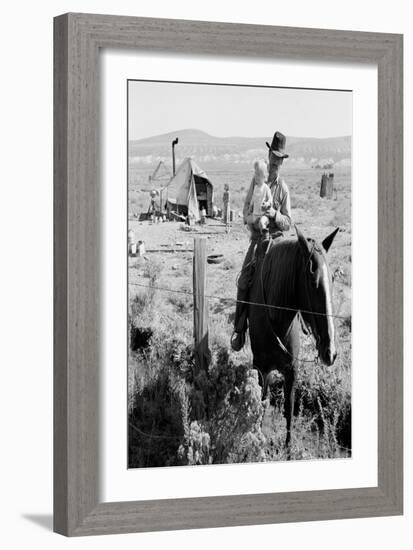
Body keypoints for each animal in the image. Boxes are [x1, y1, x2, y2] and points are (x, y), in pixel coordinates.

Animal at [248, 226, 338, 450]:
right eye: (312, 281)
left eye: (332, 279)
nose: (330, 353)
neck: (277, 319)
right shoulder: (262, 368)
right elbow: (262, 401)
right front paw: (258, 440)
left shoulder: (292, 370)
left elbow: (289, 407)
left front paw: (288, 448)